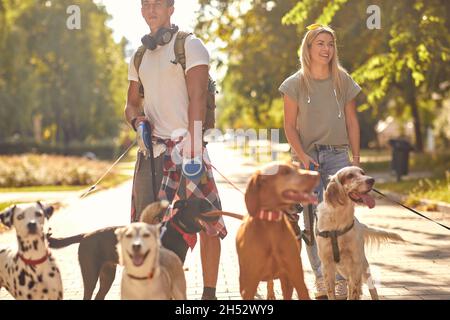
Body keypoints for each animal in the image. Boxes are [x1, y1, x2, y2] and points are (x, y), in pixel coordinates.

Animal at [316, 168, 404, 300]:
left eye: (363, 173)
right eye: (349, 176)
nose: (371, 180)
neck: (339, 221)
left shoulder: (355, 264)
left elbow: (355, 291)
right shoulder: (327, 265)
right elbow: (332, 292)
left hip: (363, 266)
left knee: (371, 288)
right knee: (349, 283)